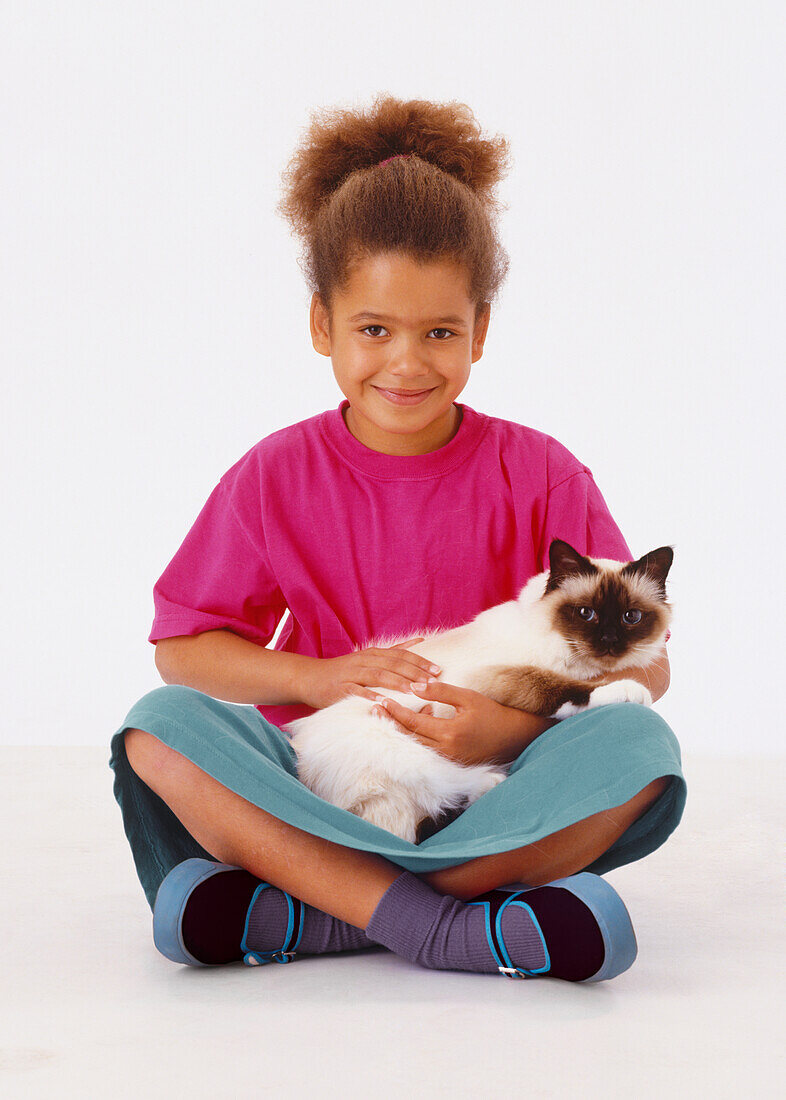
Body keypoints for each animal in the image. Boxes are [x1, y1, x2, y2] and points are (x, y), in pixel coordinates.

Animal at [285, 539, 672, 840]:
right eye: (585, 613)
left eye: (631, 617)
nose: (609, 642)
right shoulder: (497, 678)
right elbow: (560, 688)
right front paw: (629, 691)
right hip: (404, 753)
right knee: (441, 794)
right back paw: (492, 781)